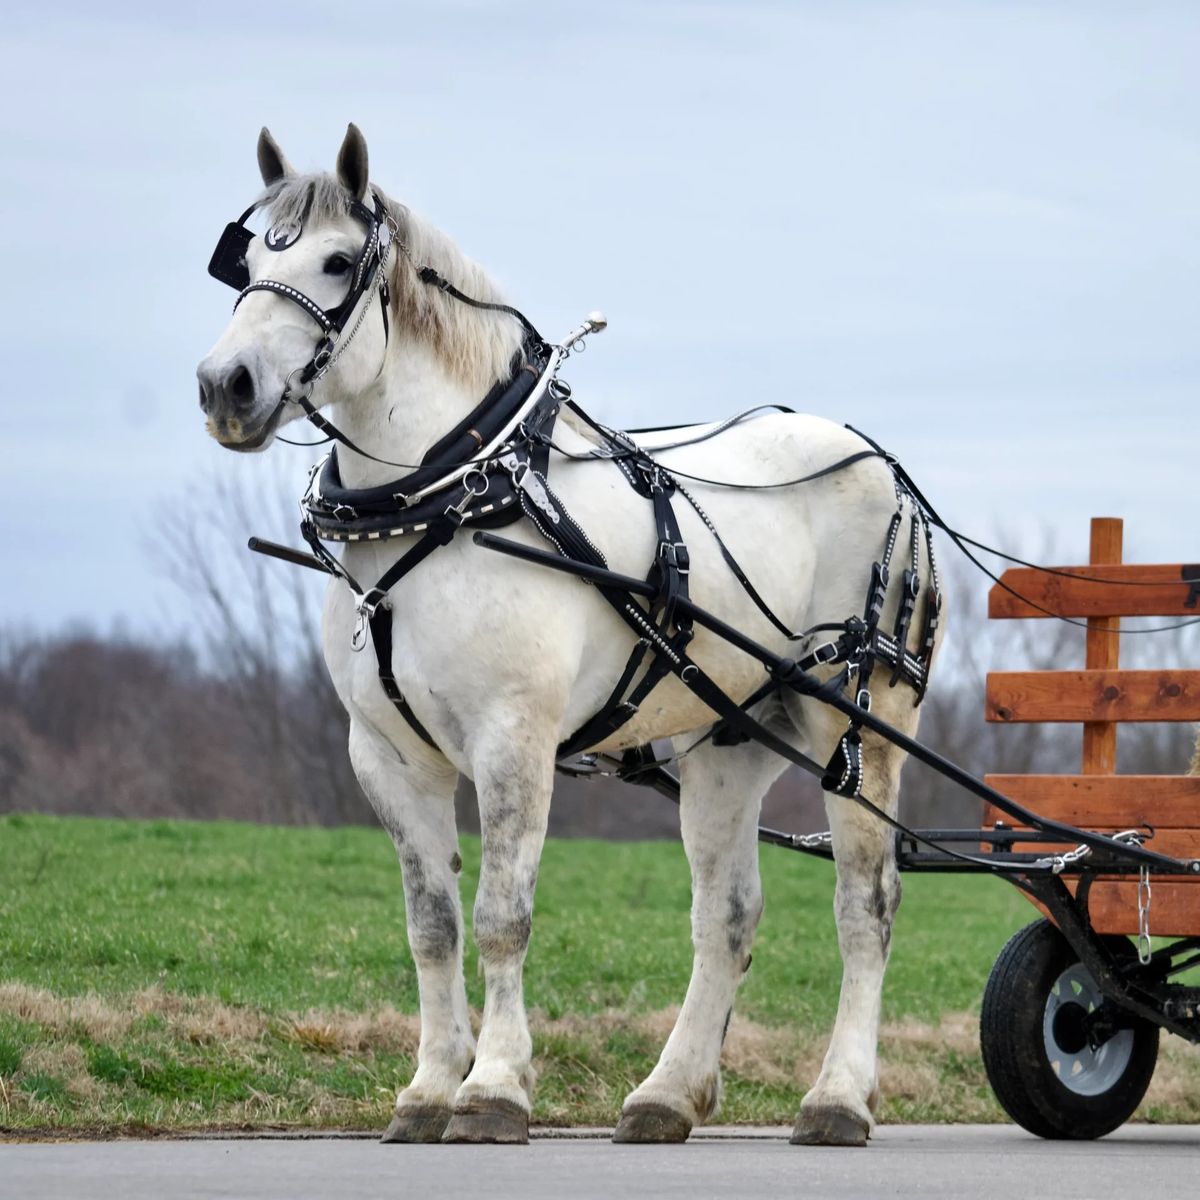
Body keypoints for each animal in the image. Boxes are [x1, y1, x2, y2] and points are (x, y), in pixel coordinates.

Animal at [195, 123, 944, 1147]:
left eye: (338, 261)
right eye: (246, 266)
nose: (224, 385)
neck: (455, 493)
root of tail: (882, 463)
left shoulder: (514, 738)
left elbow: (502, 915)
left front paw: (493, 1088)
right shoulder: (387, 754)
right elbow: (433, 925)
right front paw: (428, 1088)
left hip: (861, 729)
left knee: (866, 906)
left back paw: (837, 1097)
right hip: (727, 741)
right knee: (728, 917)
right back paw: (667, 1094)